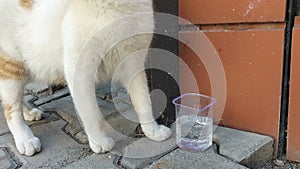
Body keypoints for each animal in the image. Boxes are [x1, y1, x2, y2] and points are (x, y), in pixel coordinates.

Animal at [0, 0, 171, 156]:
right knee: (11, 109)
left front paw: (152, 130)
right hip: (12, 66)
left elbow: (143, 101)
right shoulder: (79, 71)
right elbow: (90, 112)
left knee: (17, 98)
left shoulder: (133, 64)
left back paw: (29, 113)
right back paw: (25, 139)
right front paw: (99, 141)